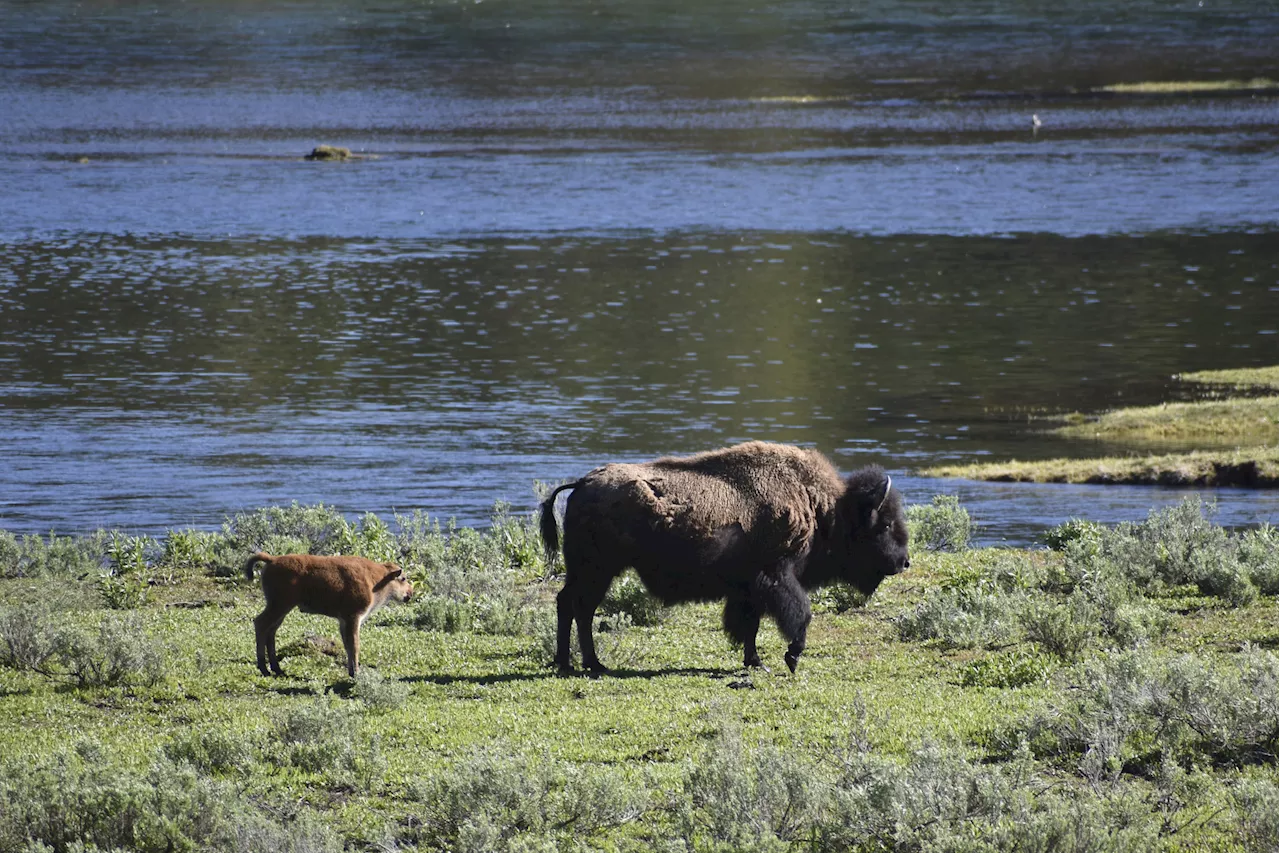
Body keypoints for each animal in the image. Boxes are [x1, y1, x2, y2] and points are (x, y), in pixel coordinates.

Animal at [241, 550, 412, 676]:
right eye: (403, 578)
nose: (410, 593)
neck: (377, 579)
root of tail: (272, 559)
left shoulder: (344, 621)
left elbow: (347, 645)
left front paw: (351, 671)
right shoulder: (353, 618)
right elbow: (354, 645)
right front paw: (356, 673)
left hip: (282, 609)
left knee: (271, 630)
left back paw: (277, 669)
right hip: (279, 606)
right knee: (261, 624)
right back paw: (265, 669)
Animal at [540, 438, 911, 671]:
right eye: (885, 524)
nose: (904, 561)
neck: (822, 508)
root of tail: (582, 484)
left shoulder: (749, 589)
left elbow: (749, 626)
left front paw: (755, 663)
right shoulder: (776, 577)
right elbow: (799, 614)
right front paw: (790, 658)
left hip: (590, 571)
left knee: (570, 604)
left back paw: (572, 663)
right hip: (596, 570)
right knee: (579, 607)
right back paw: (587, 664)